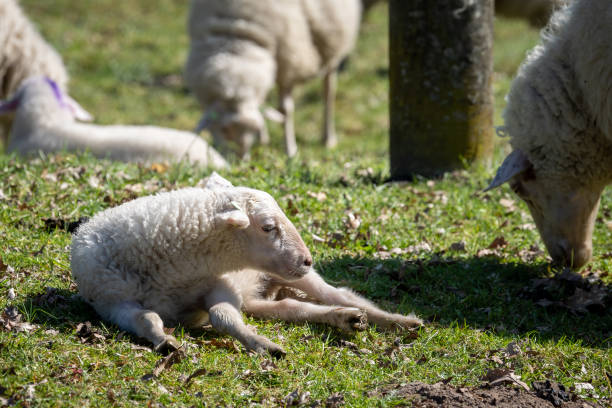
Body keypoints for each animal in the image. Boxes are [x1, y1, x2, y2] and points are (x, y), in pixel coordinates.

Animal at [71, 174, 424, 356]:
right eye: (268, 227)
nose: (307, 259)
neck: (172, 274)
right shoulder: (113, 304)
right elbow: (145, 319)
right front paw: (165, 341)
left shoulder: (219, 285)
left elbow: (221, 315)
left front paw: (263, 345)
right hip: (262, 296)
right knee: (293, 309)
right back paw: (346, 319)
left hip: (296, 277)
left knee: (340, 294)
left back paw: (399, 321)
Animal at [184, 0, 360, 159]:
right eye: (223, 130)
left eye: (252, 130)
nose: (239, 160)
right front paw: (265, 138)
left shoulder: (288, 61)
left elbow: (285, 109)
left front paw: (290, 150)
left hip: (331, 42)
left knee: (328, 89)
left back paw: (328, 138)